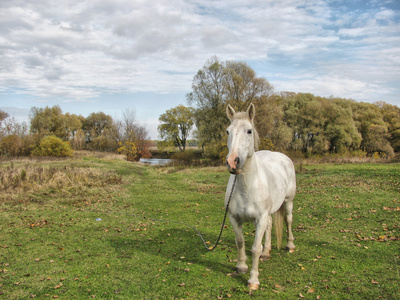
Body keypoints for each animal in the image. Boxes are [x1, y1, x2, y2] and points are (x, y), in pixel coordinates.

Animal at [227, 102, 296, 290]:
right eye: (228, 131)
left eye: (249, 131)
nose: (232, 162)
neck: (245, 187)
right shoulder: (234, 218)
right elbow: (240, 242)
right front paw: (241, 266)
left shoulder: (260, 218)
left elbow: (255, 249)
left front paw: (253, 281)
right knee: (271, 225)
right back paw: (267, 252)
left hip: (288, 201)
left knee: (288, 220)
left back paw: (290, 245)